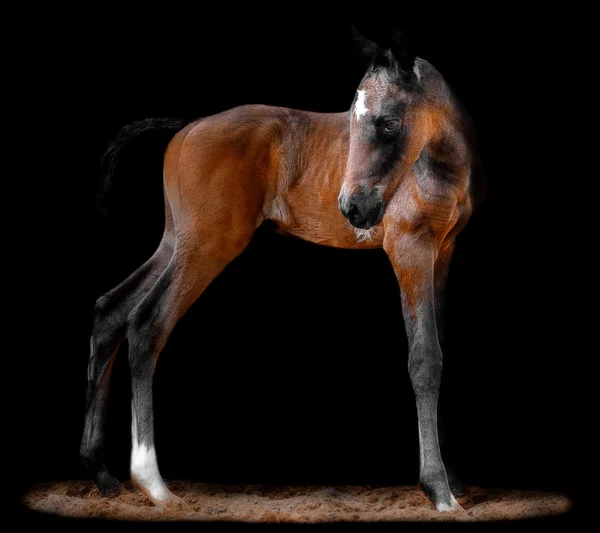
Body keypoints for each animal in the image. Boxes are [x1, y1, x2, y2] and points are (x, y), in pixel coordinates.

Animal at [83, 29, 488, 512]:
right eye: (352, 120)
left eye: (389, 123)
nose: (353, 208)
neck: (440, 163)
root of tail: (188, 127)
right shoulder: (409, 248)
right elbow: (425, 358)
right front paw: (439, 490)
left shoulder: (443, 250)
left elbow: (441, 348)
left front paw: (455, 480)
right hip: (208, 244)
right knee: (146, 323)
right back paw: (152, 482)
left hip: (176, 240)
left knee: (110, 310)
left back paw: (101, 473)